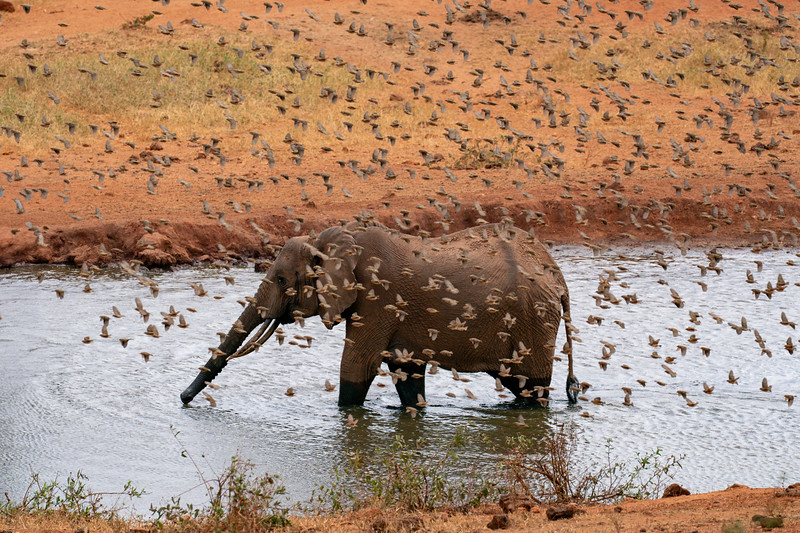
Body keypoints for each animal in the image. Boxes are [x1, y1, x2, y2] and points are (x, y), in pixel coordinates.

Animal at [181, 220, 579, 407]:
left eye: (281, 279)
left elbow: (357, 365)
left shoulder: (377, 300)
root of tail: (557, 273)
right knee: (518, 383)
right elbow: (406, 372)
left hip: (534, 320)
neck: (331, 241)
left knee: (531, 386)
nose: (183, 399)